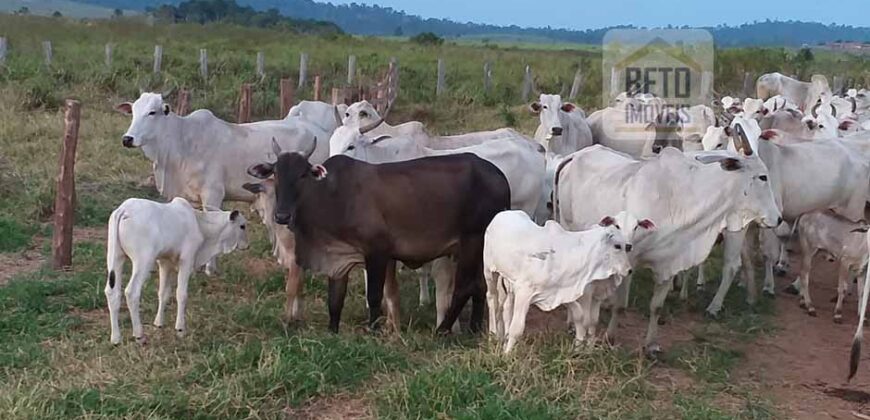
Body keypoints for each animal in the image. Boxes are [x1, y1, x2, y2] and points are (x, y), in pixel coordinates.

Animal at [106, 198, 249, 344]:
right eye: (242, 226)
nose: (247, 246)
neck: (200, 225)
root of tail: (124, 209)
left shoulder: (165, 263)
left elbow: (163, 293)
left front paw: (159, 323)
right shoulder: (187, 260)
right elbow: (181, 294)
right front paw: (180, 329)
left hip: (115, 257)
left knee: (112, 292)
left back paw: (116, 338)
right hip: (143, 261)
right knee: (131, 292)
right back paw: (139, 335)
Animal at [484, 212, 640, 352]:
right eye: (617, 246)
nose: (629, 270)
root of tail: (502, 214)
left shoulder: (562, 292)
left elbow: (579, 316)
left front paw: (578, 348)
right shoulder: (525, 292)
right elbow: (517, 328)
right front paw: (507, 354)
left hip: (509, 281)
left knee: (506, 307)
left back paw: (502, 337)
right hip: (489, 271)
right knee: (492, 299)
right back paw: (493, 336)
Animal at [560, 144, 784, 354]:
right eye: (763, 177)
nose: (779, 218)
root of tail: (576, 155)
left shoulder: (669, 262)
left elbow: (656, 307)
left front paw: (651, 345)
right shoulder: (628, 259)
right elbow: (620, 305)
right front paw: (610, 337)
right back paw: (571, 322)